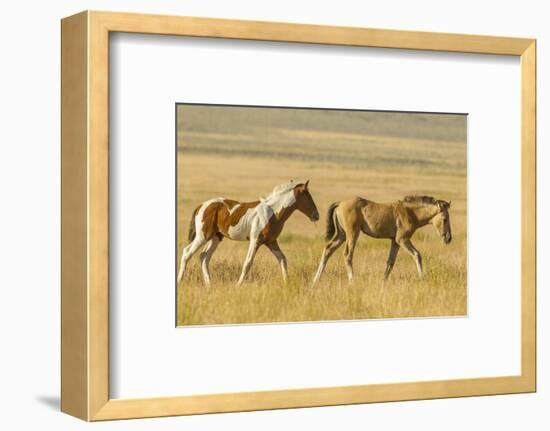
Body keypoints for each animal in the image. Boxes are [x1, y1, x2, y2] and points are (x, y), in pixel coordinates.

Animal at [179, 180, 322, 286]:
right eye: (308, 196)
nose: (316, 216)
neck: (272, 213)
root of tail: (201, 205)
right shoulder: (255, 240)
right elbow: (247, 263)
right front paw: (238, 285)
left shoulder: (271, 242)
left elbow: (283, 259)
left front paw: (287, 282)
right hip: (202, 236)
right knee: (187, 253)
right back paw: (179, 281)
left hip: (215, 238)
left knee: (204, 256)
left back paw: (209, 284)